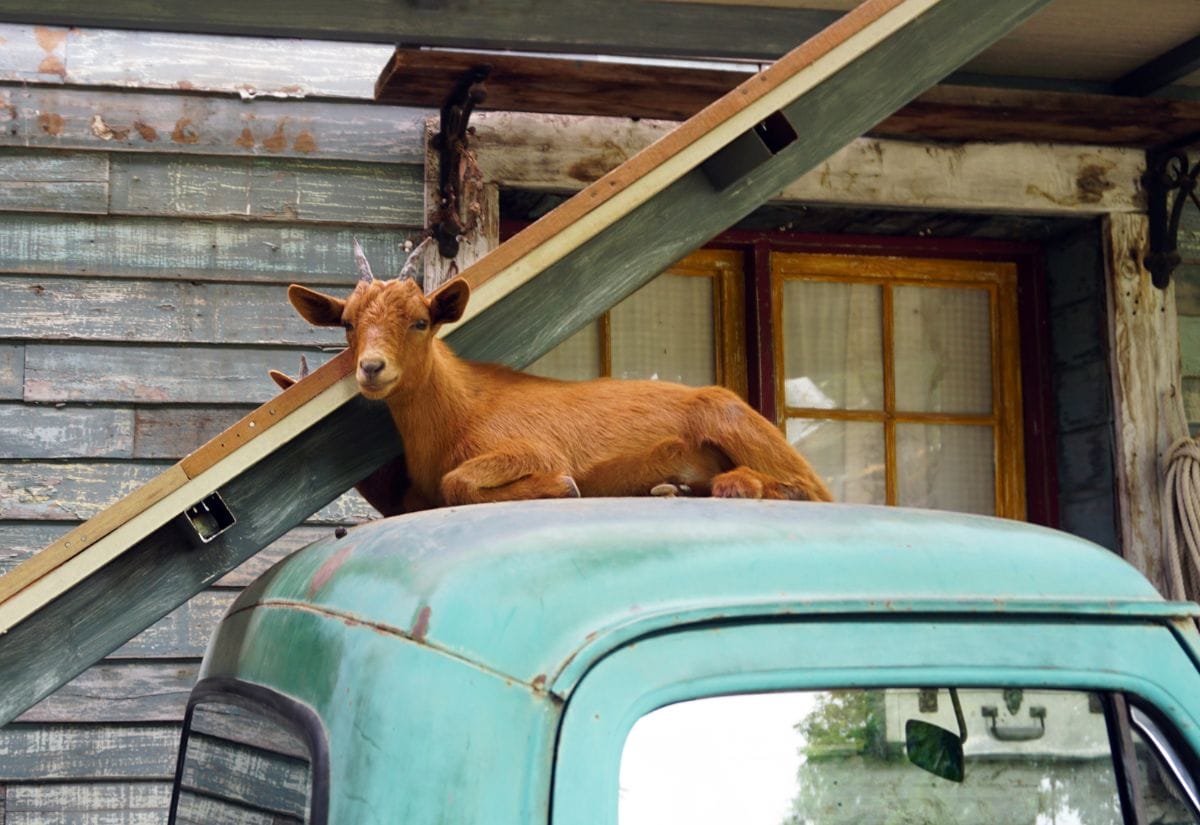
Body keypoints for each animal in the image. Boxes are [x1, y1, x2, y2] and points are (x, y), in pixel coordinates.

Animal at [289, 254, 830, 506]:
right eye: (348, 323)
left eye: (421, 321)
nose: (372, 367)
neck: (456, 413)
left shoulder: (530, 447)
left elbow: (458, 481)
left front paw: (562, 486)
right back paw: (675, 488)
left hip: (733, 417)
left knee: (813, 488)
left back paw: (735, 483)